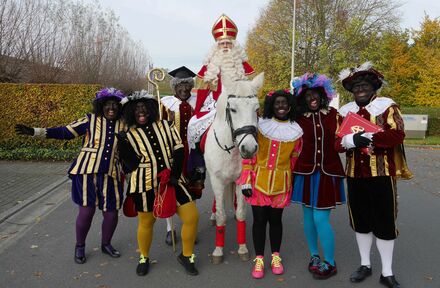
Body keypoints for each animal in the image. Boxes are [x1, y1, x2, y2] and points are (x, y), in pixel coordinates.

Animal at [204, 73, 262, 264]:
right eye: (233, 109)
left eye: (257, 109)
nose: (249, 148)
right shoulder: (216, 181)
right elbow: (221, 215)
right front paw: (218, 251)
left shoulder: (240, 180)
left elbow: (241, 213)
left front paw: (242, 248)